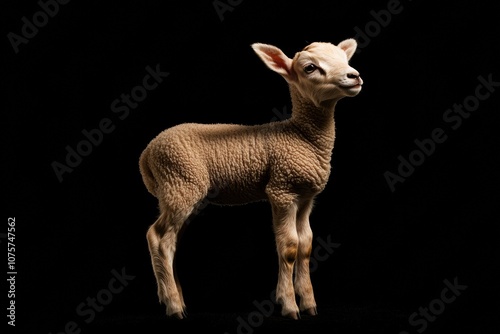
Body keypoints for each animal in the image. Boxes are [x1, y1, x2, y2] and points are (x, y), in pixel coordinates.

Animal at [139, 38, 362, 318]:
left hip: (175, 192)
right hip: (180, 183)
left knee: (166, 240)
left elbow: (306, 246)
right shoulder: (281, 190)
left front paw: (309, 303)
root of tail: (147, 154)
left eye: (343, 59)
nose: (354, 76)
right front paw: (289, 305)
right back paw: (173, 305)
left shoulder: (305, 198)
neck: (302, 137)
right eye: (310, 67)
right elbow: (289, 247)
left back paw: (173, 297)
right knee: (160, 239)